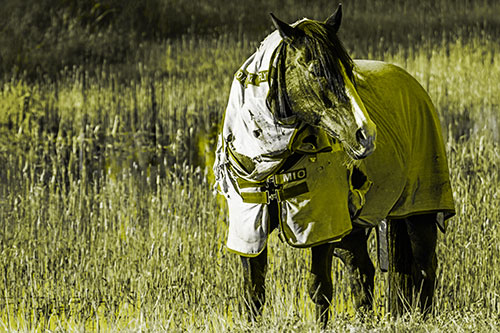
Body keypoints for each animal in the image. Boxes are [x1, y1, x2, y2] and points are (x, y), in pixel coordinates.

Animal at [213, 4, 456, 326]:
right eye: (317, 70)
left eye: (349, 70)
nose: (366, 135)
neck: (273, 161)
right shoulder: (251, 227)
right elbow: (253, 293)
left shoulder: (322, 226)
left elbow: (319, 288)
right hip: (353, 230)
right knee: (362, 271)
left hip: (419, 212)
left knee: (426, 267)